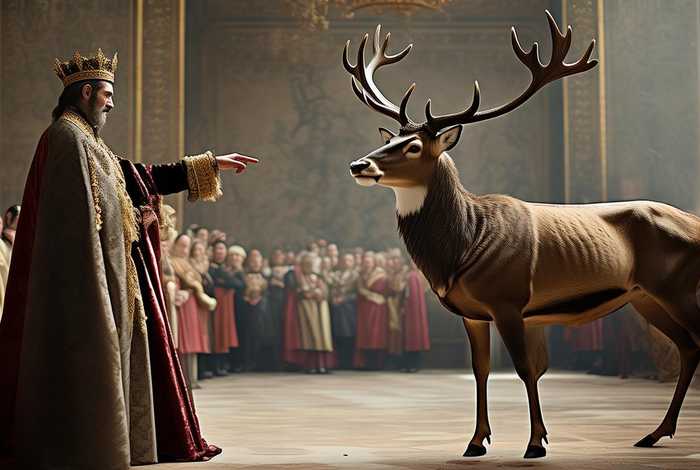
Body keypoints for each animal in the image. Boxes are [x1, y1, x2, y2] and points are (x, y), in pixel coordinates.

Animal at [343, 10, 700, 459]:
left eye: (413, 147)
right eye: (390, 138)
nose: (358, 165)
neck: (463, 246)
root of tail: (695, 223)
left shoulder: (509, 300)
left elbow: (526, 368)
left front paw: (536, 442)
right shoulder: (473, 312)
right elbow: (480, 370)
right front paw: (476, 441)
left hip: (677, 286)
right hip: (645, 297)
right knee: (687, 346)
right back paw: (654, 433)